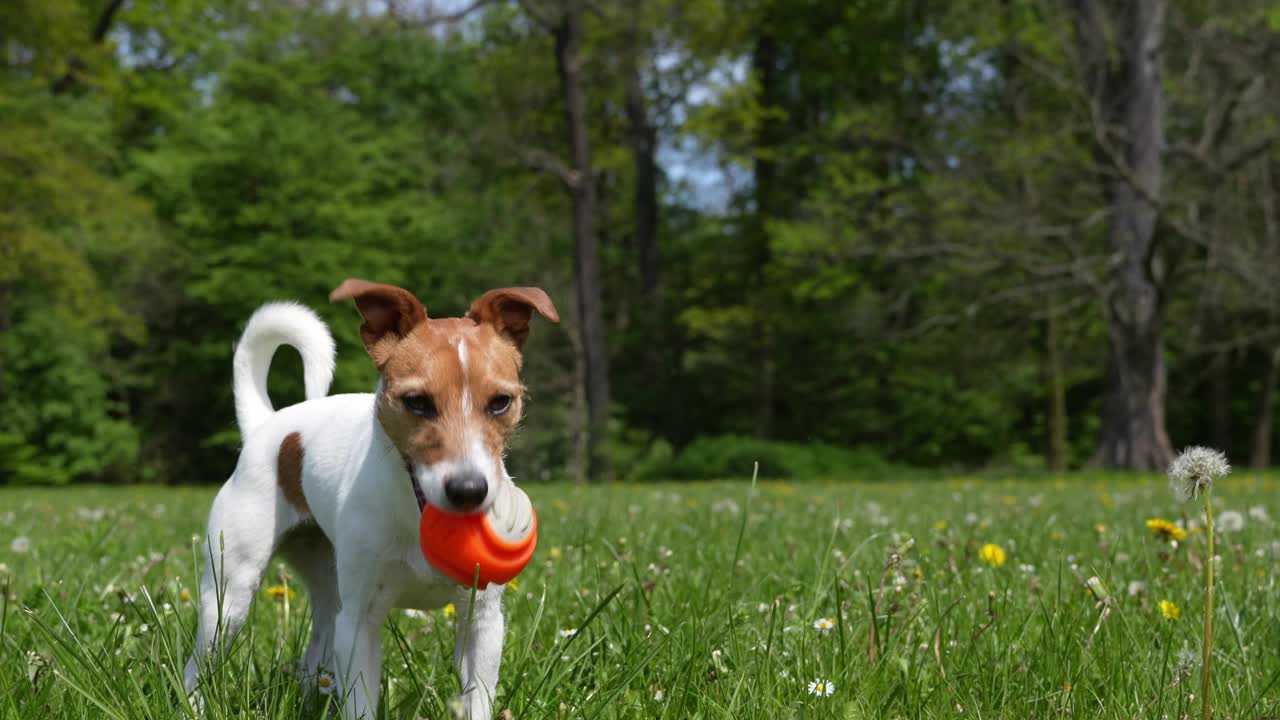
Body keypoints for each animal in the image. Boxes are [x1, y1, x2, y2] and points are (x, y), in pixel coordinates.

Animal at [183, 275, 558, 717]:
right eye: (417, 402)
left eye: (501, 402)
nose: (468, 490)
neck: (413, 516)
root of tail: (265, 425)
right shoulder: (360, 623)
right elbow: (360, 700)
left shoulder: (482, 623)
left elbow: (477, 699)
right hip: (229, 595)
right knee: (197, 663)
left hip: (326, 590)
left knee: (316, 647)